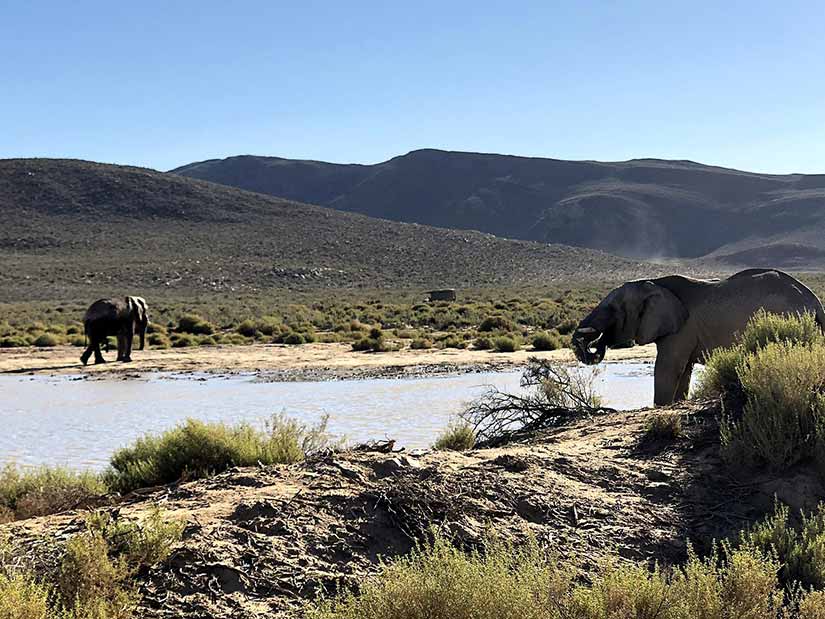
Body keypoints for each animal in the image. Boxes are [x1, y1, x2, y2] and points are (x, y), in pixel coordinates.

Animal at [572, 270, 824, 406]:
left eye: (612, 309)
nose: (595, 342)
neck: (654, 282)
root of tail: (814, 301)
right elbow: (683, 371)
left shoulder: (681, 329)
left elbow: (667, 368)